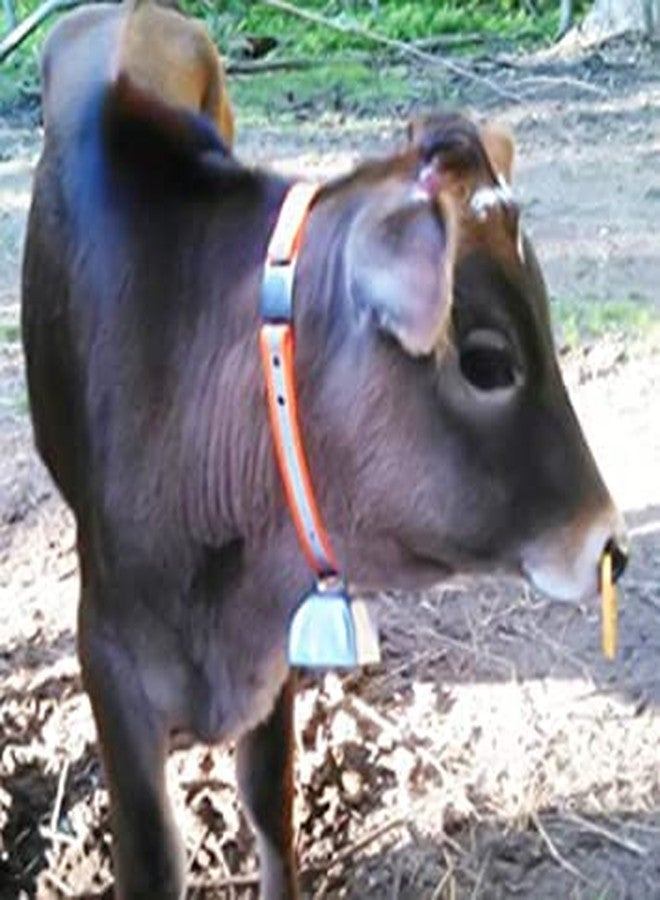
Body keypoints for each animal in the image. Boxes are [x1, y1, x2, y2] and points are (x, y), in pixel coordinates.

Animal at [21, 20, 627, 900]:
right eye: (486, 361)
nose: (609, 543)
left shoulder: (276, 655)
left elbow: (271, 807)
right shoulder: (108, 661)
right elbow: (155, 858)